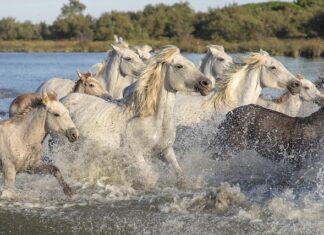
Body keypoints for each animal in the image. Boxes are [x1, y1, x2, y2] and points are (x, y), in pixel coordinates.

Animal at [61, 46, 213, 188]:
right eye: (179, 66)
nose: (207, 84)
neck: (153, 121)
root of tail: (64, 99)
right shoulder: (136, 155)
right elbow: (150, 178)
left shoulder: (165, 151)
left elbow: (180, 175)